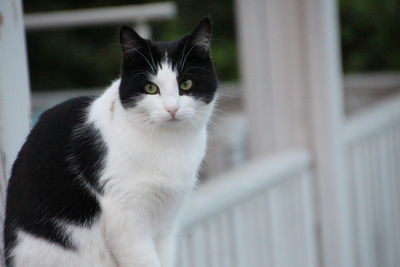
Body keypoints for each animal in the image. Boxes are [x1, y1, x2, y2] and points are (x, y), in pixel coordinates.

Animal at [3, 17, 217, 266]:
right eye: (151, 88)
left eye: (186, 84)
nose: (172, 109)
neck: (171, 144)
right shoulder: (125, 221)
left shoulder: (167, 224)